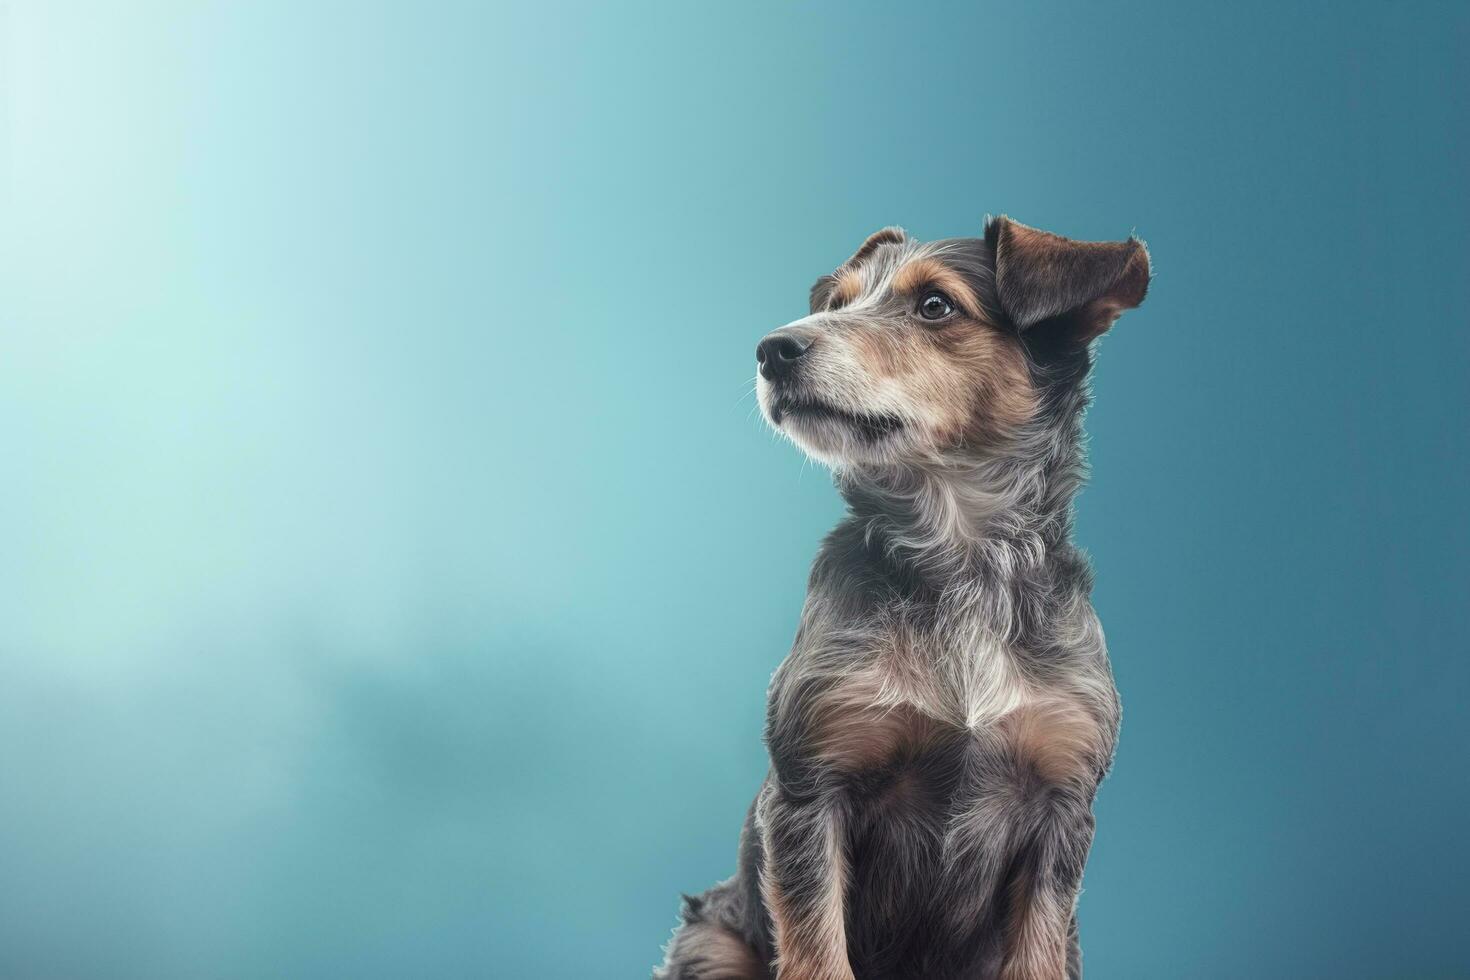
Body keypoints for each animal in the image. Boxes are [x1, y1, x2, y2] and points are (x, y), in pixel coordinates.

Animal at [655, 215, 1146, 980]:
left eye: (936, 306)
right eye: (836, 304)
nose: (773, 350)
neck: (961, 562)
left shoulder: (1062, 804)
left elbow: (1036, 950)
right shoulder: (811, 791)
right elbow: (818, 952)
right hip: (712, 940)